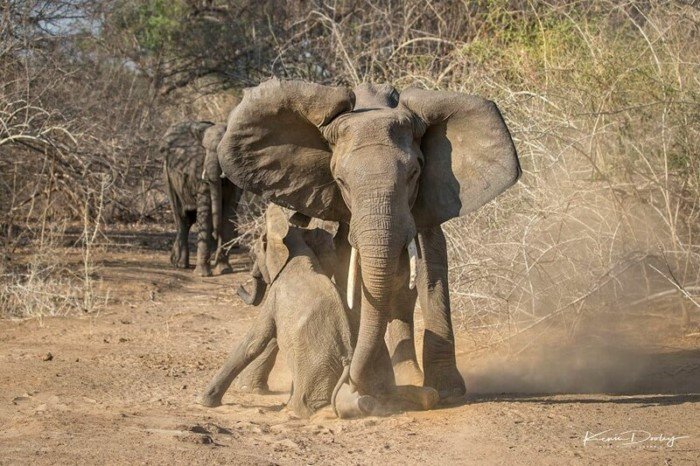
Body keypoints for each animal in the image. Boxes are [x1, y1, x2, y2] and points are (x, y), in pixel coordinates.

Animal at [161, 120, 243, 276]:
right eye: (204, 150)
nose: (215, 235)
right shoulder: (198, 169)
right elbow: (206, 210)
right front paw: (203, 275)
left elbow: (228, 212)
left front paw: (224, 270)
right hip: (168, 176)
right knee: (182, 218)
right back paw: (180, 264)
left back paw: (176, 261)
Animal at [217, 78, 520, 402]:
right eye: (340, 181)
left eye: (414, 174)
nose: (350, 379)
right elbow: (351, 274)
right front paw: (375, 389)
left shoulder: (428, 198)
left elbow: (431, 272)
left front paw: (448, 393)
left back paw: (409, 377)